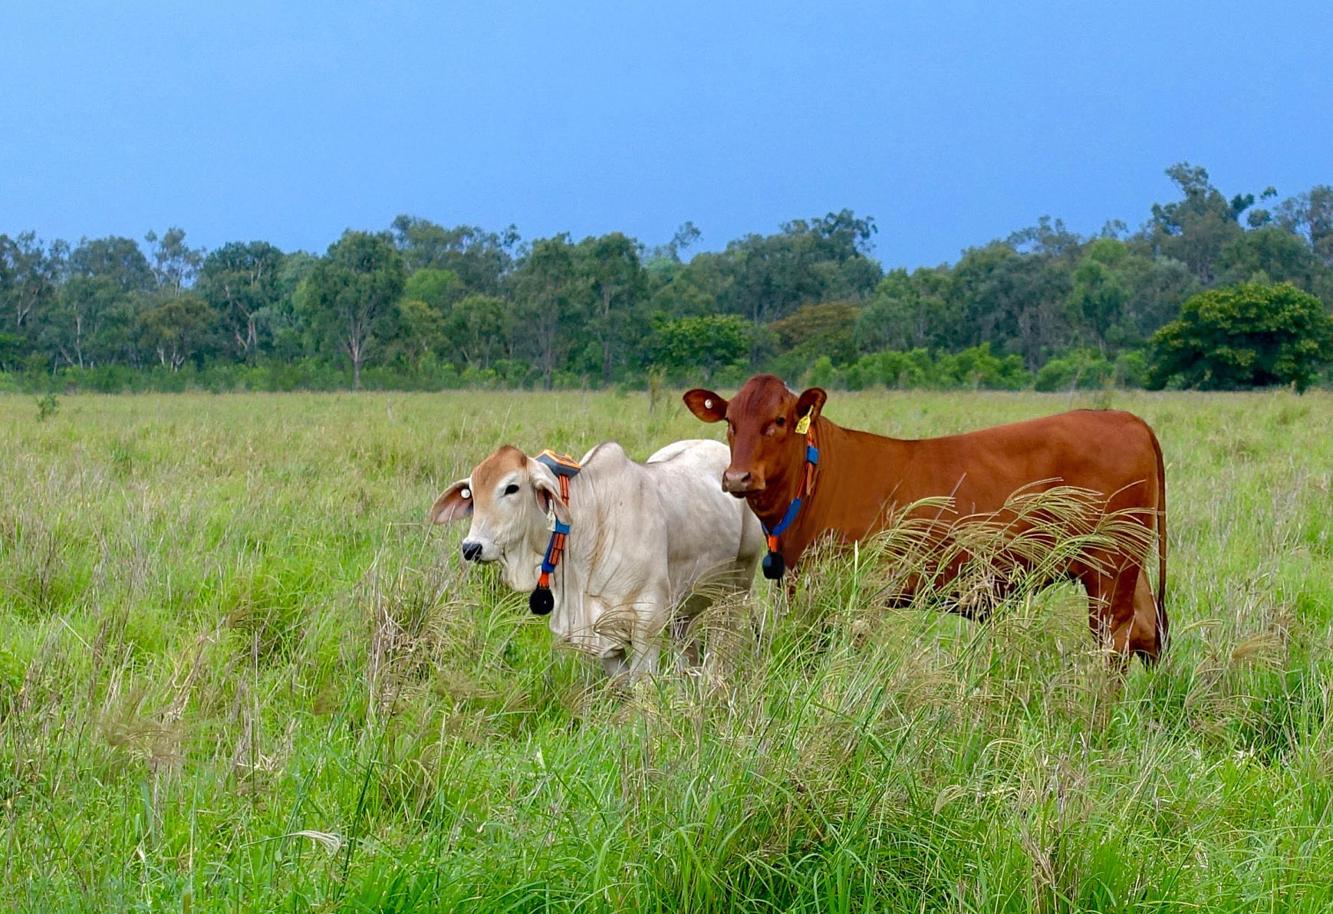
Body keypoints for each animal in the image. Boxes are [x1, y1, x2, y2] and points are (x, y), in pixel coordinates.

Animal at [429, 439, 765, 678]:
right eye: (472, 493)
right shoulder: (603, 637)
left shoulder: (648, 622)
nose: (471, 547)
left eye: (511, 487)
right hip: (687, 607)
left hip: (737, 588)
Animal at [683, 375, 1168, 662]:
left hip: (1110, 571)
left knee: (1114, 644)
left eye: (780, 420)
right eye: (729, 421)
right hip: (1126, 570)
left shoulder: (859, 592)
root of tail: (1127, 418)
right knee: (1145, 632)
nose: (737, 476)